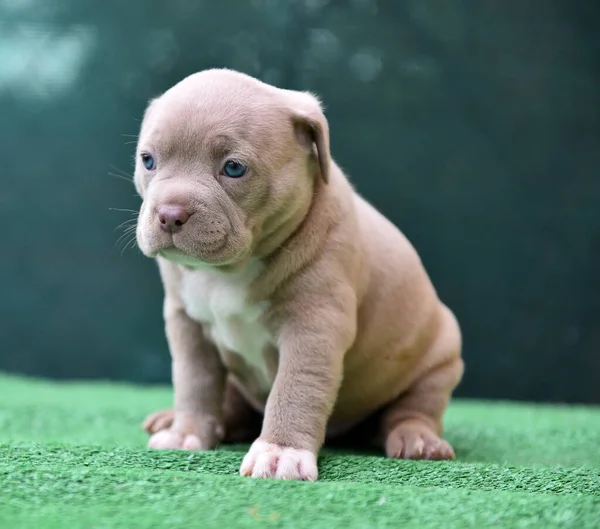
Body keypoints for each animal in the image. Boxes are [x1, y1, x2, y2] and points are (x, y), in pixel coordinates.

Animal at [135, 68, 464, 480]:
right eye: (148, 160)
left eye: (234, 168)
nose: (169, 215)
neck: (226, 271)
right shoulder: (186, 324)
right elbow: (195, 382)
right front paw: (187, 433)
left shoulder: (314, 326)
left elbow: (295, 388)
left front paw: (280, 452)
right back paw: (177, 419)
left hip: (440, 358)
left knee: (414, 408)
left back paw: (418, 440)